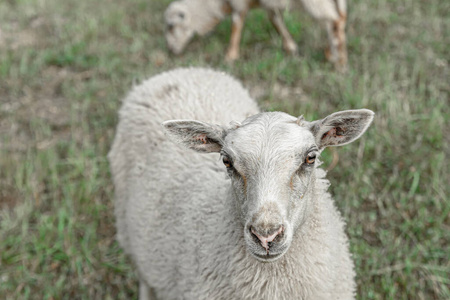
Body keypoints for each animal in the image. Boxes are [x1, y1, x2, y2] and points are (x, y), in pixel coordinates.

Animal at [164, 0, 348, 69]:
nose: (171, 51)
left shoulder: (238, 4)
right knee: (338, 19)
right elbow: (275, 20)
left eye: (171, 26)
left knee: (335, 20)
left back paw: (340, 62)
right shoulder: (268, 5)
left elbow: (236, 25)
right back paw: (332, 54)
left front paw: (230, 56)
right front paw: (290, 47)